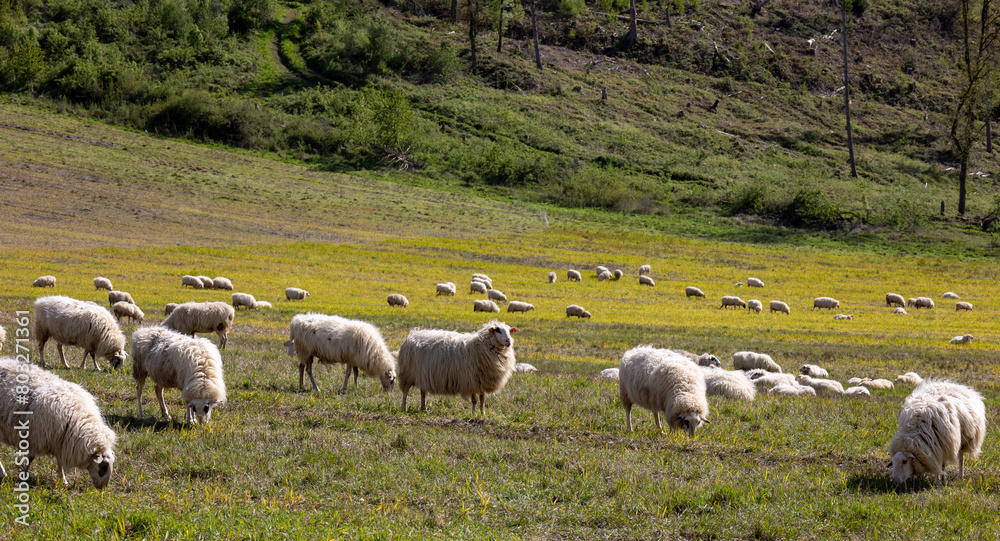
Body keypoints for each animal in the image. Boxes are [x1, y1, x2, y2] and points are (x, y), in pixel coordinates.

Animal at [0, 356, 116, 488]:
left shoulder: (59, 440)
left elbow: (60, 462)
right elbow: (31, 458)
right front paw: (22, 476)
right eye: (104, 467)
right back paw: (3, 473)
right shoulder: (39, 437)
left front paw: (63, 480)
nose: (102, 488)